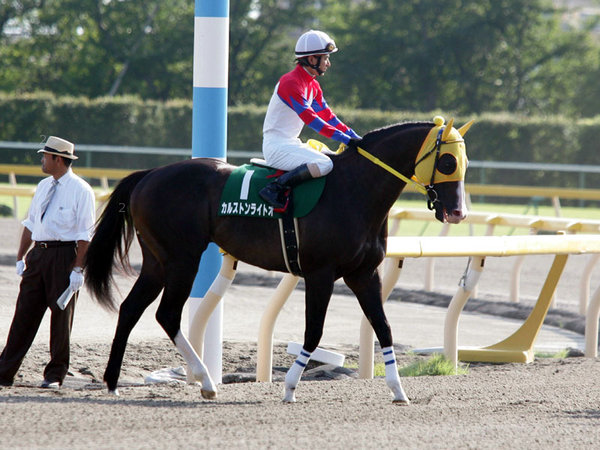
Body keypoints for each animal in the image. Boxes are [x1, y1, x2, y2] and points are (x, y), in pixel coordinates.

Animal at [84, 115, 474, 400]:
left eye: (464, 162)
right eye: (447, 161)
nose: (458, 213)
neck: (354, 191)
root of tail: (149, 174)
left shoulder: (364, 274)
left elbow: (383, 327)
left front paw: (398, 390)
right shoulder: (320, 274)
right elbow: (314, 331)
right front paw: (289, 388)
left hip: (157, 261)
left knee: (130, 309)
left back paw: (113, 381)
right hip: (183, 258)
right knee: (167, 314)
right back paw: (206, 382)